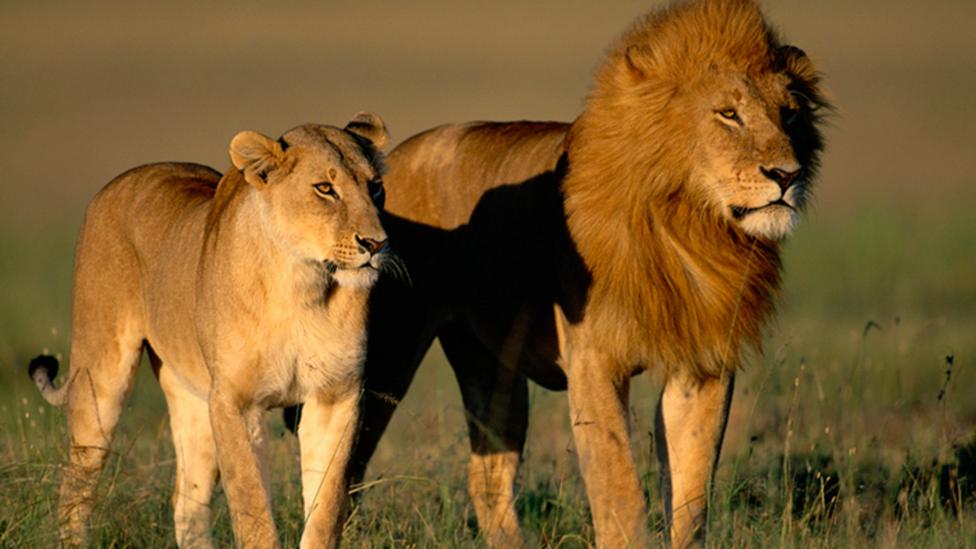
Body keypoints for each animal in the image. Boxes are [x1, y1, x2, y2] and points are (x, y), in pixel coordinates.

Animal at [29, 114, 392, 548]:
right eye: (325, 188)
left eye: (375, 186)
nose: (376, 243)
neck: (302, 285)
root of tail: (117, 182)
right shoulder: (235, 402)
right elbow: (252, 507)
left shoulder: (336, 396)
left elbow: (327, 506)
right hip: (100, 378)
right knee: (76, 485)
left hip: (192, 399)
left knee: (187, 503)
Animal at [334, 1, 828, 547]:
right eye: (729, 114)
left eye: (789, 114)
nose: (786, 175)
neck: (689, 227)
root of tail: (387, 164)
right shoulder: (593, 362)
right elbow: (620, 490)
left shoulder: (703, 366)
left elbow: (691, 496)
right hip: (387, 356)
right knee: (349, 467)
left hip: (490, 365)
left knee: (487, 476)